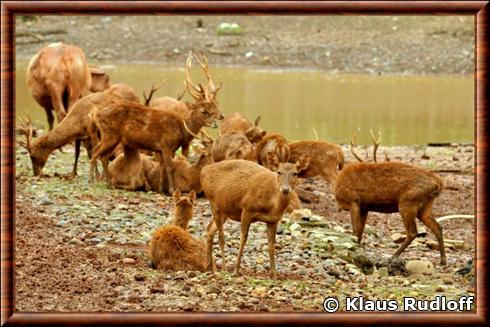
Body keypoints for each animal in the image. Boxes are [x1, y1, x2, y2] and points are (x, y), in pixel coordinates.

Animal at [89, 52, 223, 195]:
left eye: (215, 106)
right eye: (204, 111)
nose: (216, 123)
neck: (182, 129)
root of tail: (97, 115)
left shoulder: (163, 149)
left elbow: (162, 166)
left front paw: (160, 189)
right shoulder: (166, 145)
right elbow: (169, 167)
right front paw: (171, 189)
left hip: (114, 138)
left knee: (103, 156)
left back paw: (109, 183)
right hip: (110, 134)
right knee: (96, 151)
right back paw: (92, 180)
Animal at [334, 129, 446, 266]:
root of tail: (438, 183)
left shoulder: (353, 201)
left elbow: (355, 230)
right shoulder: (364, 207)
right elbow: (360, 231)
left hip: (407, 202)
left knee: (413, 232)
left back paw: (393, 257)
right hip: (426, 205)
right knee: (437, 227)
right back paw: (443, 260)